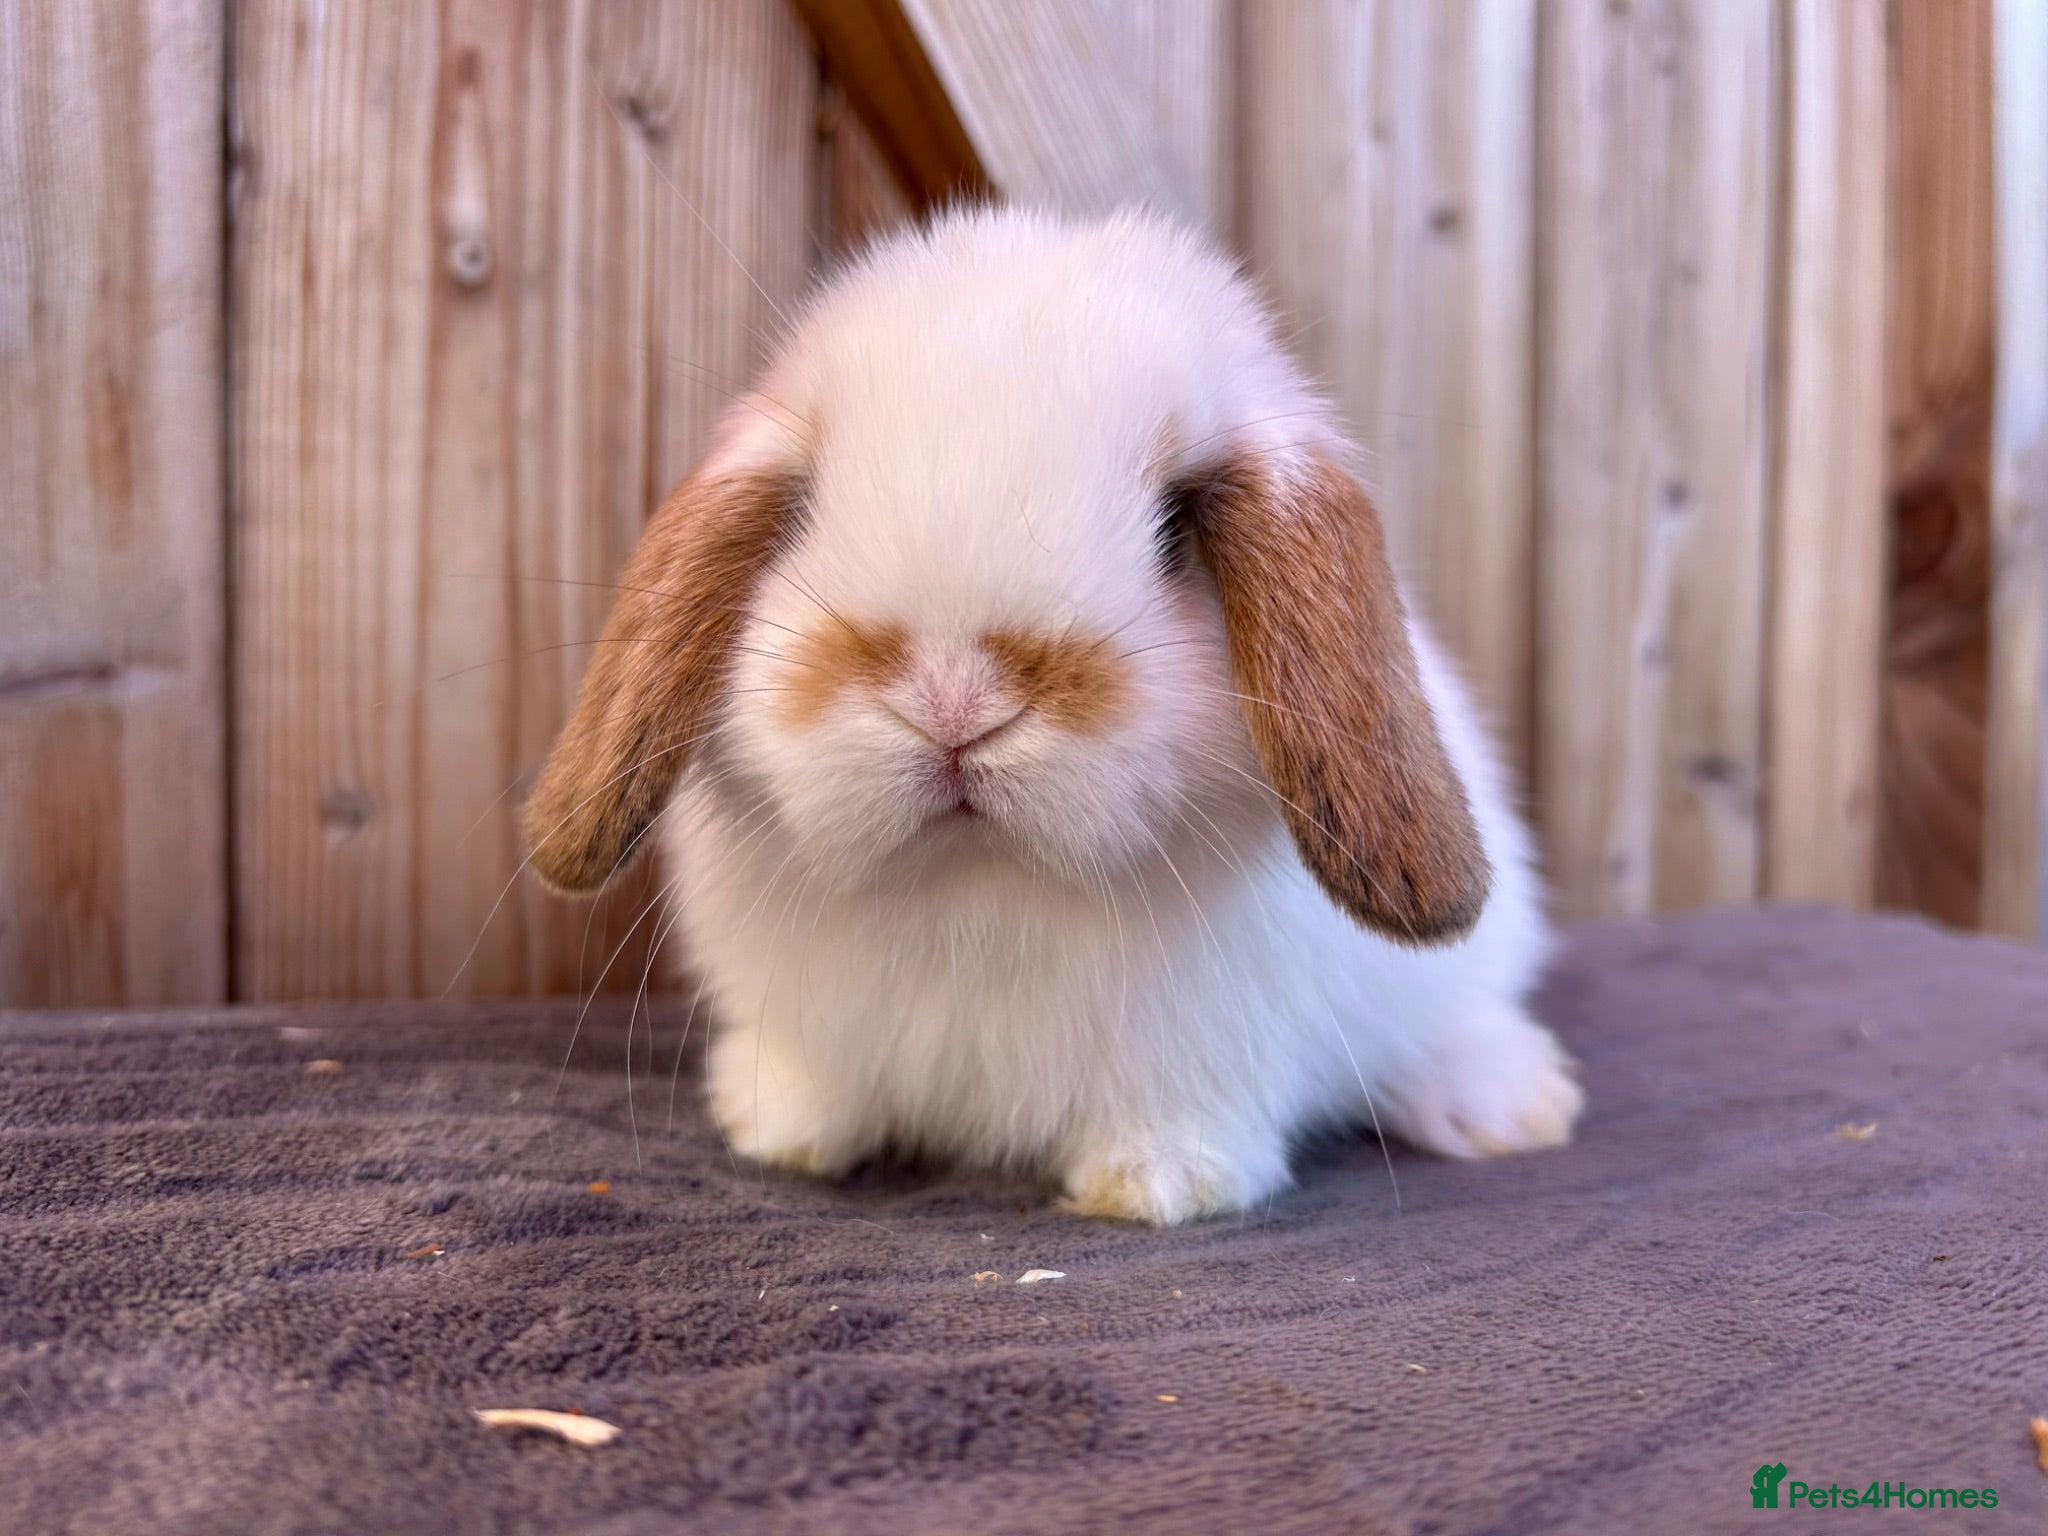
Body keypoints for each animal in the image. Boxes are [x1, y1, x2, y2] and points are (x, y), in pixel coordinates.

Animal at [523, 206, 1582, 1225]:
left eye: (1174, 527)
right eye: (806, 508)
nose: (953, 703)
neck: (980, 890)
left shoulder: (1209, 1050)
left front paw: (1156, 1186)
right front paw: (780, 1134)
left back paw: (1514, 1106)